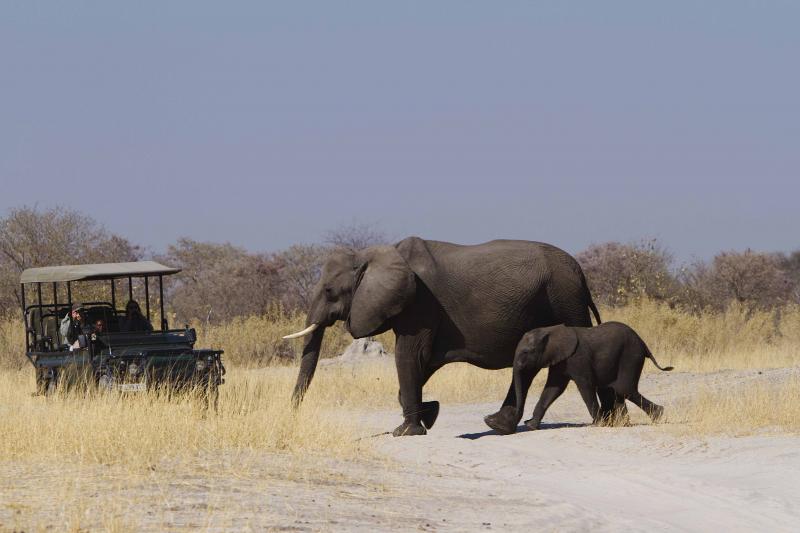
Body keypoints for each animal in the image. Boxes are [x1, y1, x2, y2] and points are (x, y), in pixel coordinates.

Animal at [283, 236, 602, 437]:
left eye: (329, 291)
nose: (292, 417)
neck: (374, 255)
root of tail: (581, 274)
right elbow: (421, 363)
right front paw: (429, 414)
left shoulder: (420, 304)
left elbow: (409, 356)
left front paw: (406, 432)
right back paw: (499, 425)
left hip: (565, 300)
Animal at [489, 322, 673, 435]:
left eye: (526, 352)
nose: (522, 420)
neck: (549, 330)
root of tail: (643, 343)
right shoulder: (560, 360)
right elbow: (553, 389)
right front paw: (531, 426)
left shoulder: (578, 358)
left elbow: (585, 386)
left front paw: (599, 424)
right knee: (619, 390)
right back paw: (625, 424)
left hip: (631, 355)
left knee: (623, 388)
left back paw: (659, 415)